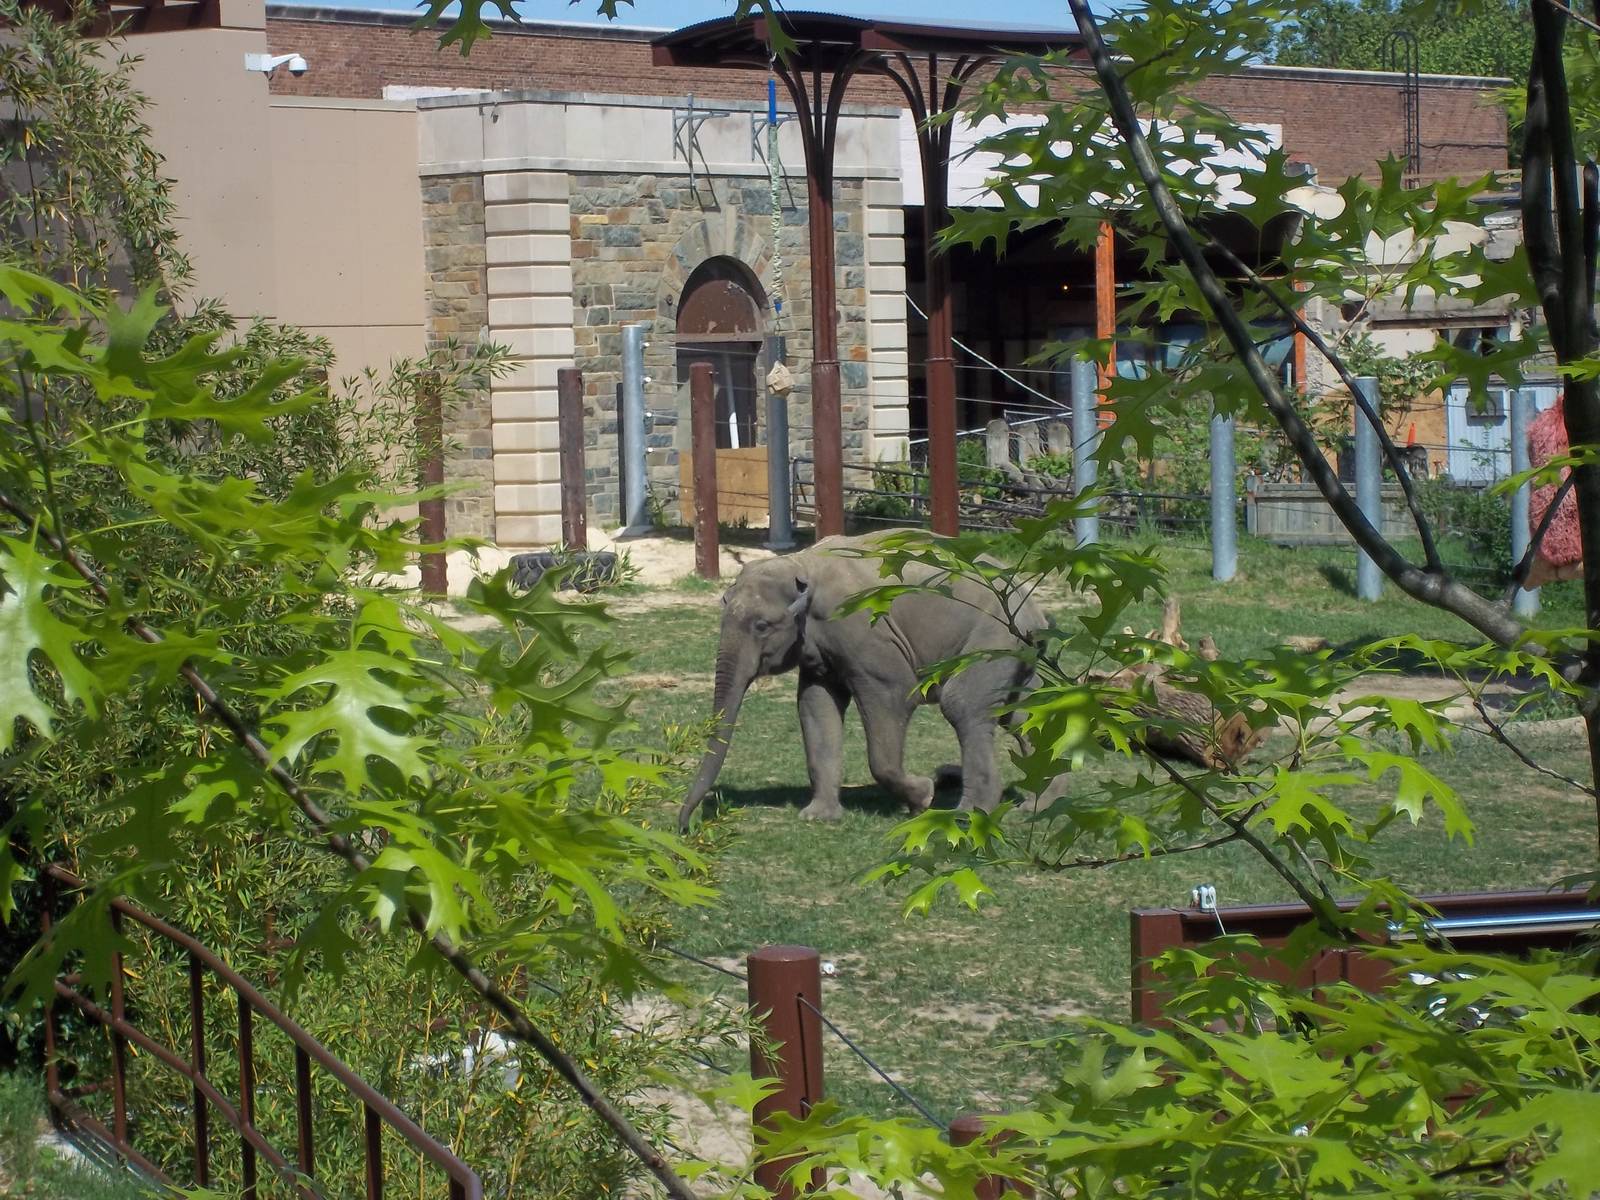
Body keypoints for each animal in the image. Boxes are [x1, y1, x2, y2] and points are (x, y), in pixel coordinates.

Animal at [677, 531, 1045, 832]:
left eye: (762, 626)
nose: (685, 826)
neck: (802, 564)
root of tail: (1034, 608)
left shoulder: (865, 632)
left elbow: (893, 694)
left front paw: (923, 797)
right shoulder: (820, 649)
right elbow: (816, 706)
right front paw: (817, 817)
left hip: (992, 639)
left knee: (963, 705)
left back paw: (967, 814)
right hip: (1017, 651)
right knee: (1023, 713)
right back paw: (1035, 806)